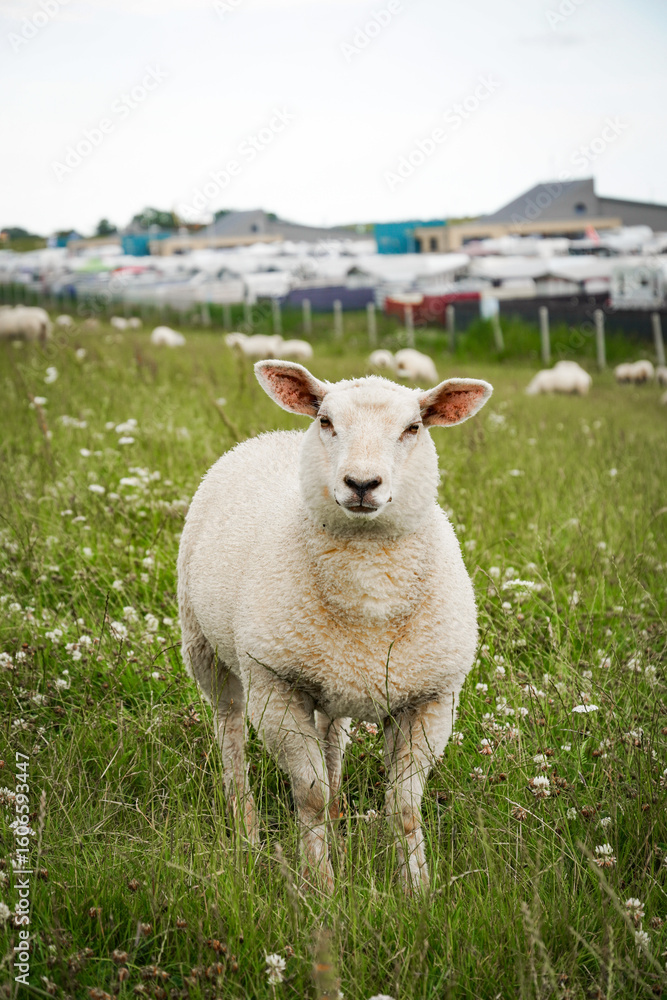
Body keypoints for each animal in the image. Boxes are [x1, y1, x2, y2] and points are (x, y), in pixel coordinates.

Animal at [178, 360, 493, 892]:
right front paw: (321, 887)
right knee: (230, 733)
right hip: (205, 647)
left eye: (413, 427)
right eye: (326, 421)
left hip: (335, 675)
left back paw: (339, 823)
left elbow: (404, 806)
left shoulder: (432, 698)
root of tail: (272, 434)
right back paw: (247, 833)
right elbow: (309, 795)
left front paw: (417, 891)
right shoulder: (275, 684)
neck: (369, 597)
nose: (362, 483)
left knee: (331, 739)